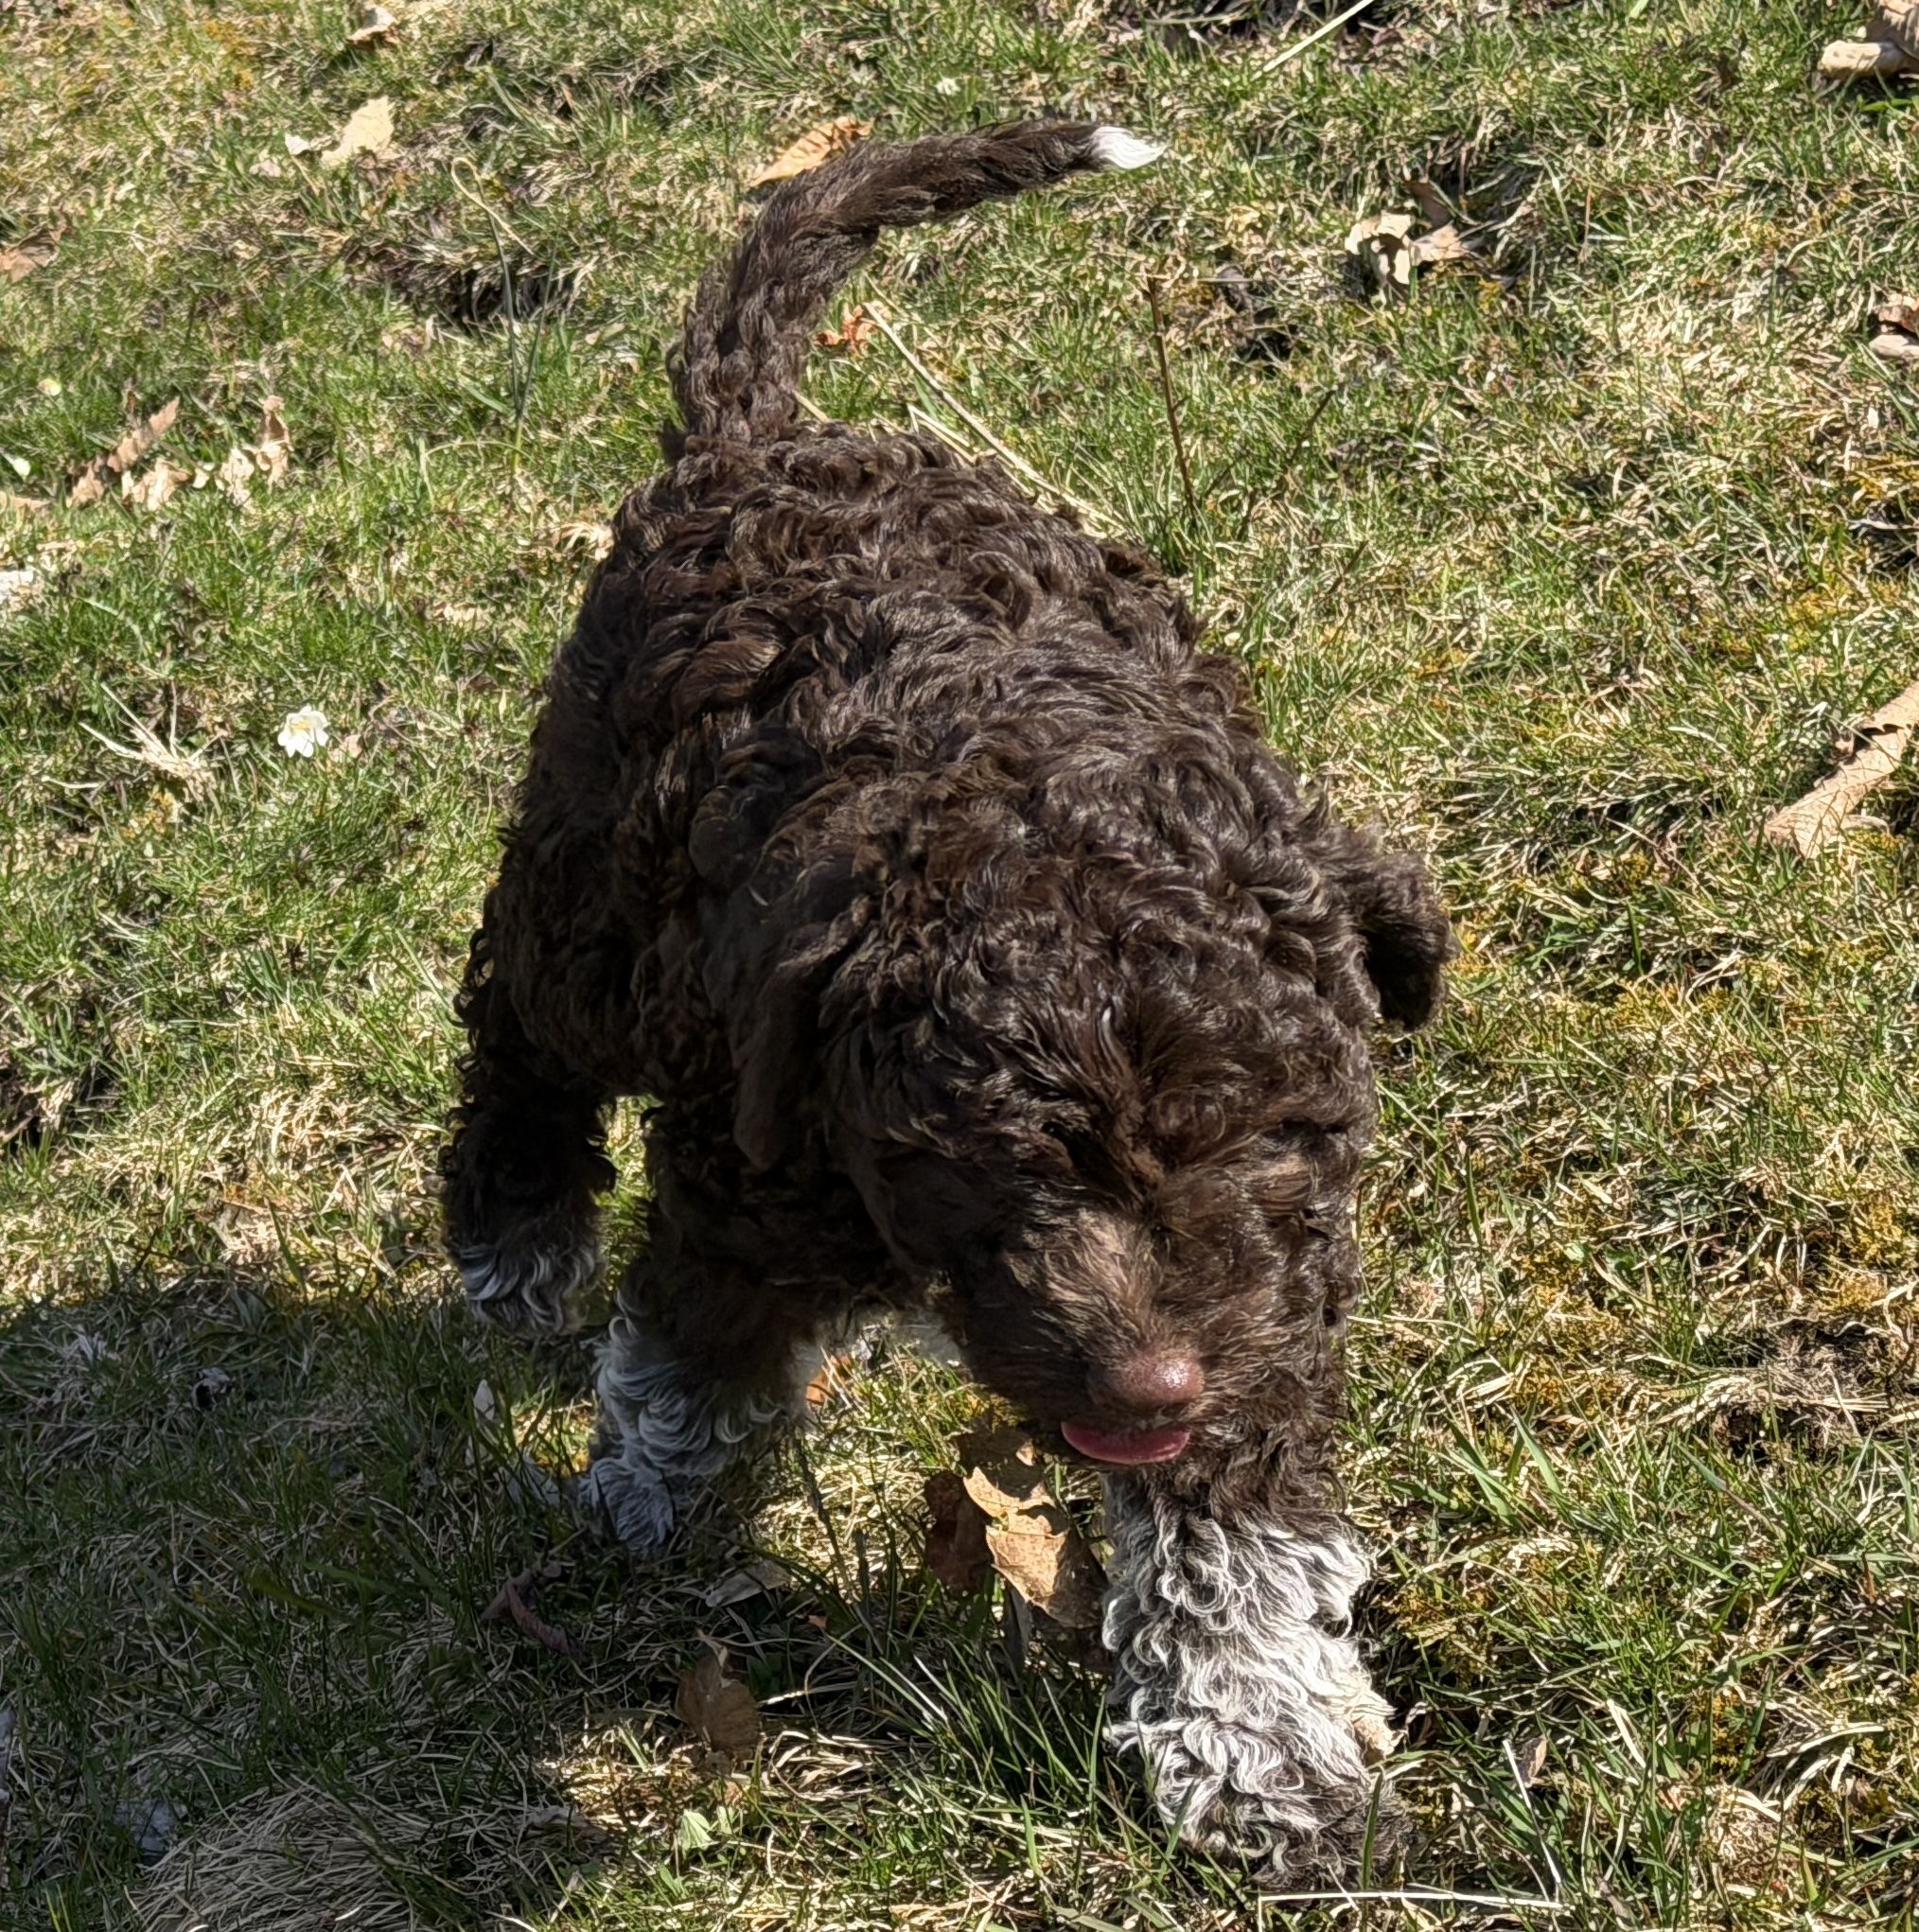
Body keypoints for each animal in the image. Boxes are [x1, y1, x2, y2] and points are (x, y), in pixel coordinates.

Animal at [442, 120, 1454, 1883]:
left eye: (1265, 1141)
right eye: (993, 1161)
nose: (1144, 1390)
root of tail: (763, 440)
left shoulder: (1261, 1300)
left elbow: (1240, 1530)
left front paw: (1266, 1754)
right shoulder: (745, 1168)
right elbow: (689, 1352)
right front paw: (642, 1513)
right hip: (593, 890)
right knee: (518, 1015)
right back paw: (512, 1221)